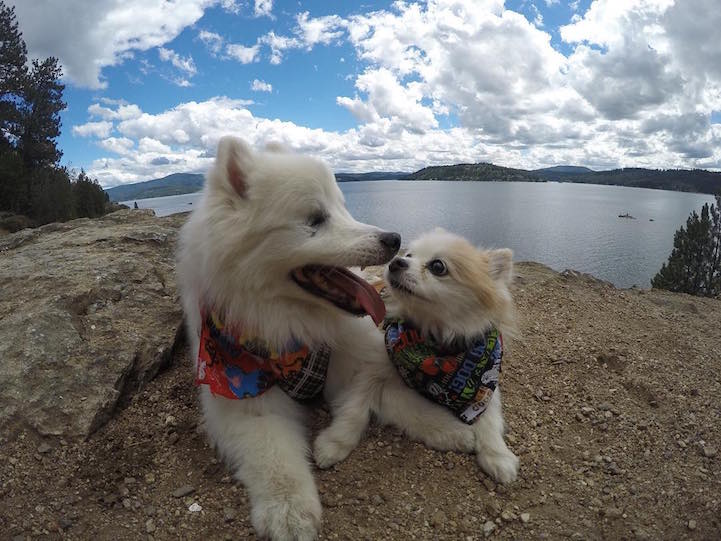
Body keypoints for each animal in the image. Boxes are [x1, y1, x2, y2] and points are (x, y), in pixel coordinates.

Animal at [174, 136, 400, 540]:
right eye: (315, 219)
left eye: (343, 208)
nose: (394, 239)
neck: (292, 325)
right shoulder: (244, 396)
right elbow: (273, 457)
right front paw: (290, 514)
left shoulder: (364, 359)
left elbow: (358, 401)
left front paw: (332, 444)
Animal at [312, 230, 520, 484]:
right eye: (409, 255)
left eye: (438, 266)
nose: (396, 261)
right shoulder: (372, 370)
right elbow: (355, 408)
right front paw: (333, 443)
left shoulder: (486, 385)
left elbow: (490, 418)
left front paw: (498, 455)